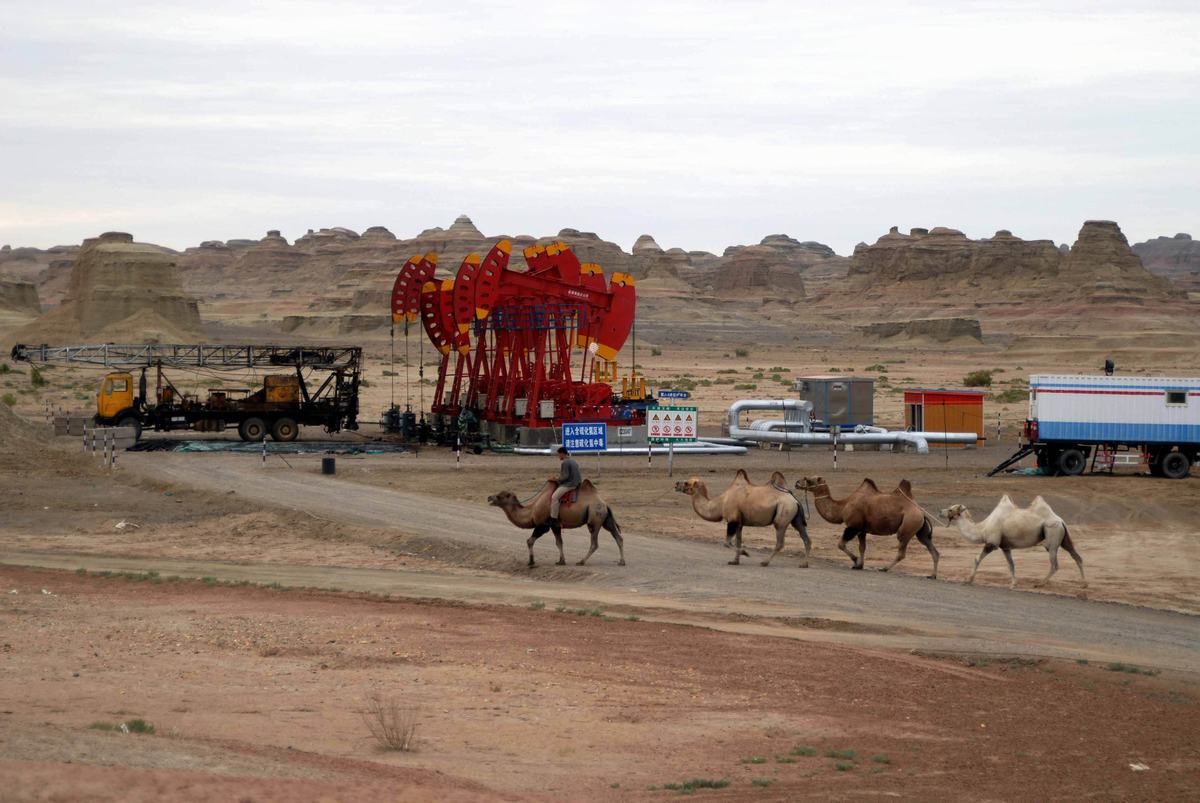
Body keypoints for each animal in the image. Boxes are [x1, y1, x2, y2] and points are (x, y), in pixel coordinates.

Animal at [484, 480, 624, 566]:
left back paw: (581, 561)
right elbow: (559, 542)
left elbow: (530, 540)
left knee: (594, 542)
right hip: (606, 519)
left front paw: (531, 562)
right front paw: (561, 561)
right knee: (618, 537)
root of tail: (605, 504)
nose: (489, 497)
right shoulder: (555, 526)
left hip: (594, 517)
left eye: (500, 496)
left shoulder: (543, 525)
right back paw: (621, 561)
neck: (532, 511)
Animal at [672, 465, 811, 566]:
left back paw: (765, 562)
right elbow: (738, 541)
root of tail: (794, 499)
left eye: (687, 483)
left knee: (780, 542)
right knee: (806, 539)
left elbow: (727, 543)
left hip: (782, 516)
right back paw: (804, 564)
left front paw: (745, 553)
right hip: (796, 519)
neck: (720, 502)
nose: (676, 484)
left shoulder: (732, 519)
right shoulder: (739, 523)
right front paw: (735, 561)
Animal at [796, 475, 936, 576]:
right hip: (920, 530)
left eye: (809, 480)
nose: (796, 483)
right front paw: (860, 565)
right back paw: (932, 575)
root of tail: (921, 513)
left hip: (908, 525)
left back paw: (884, 568)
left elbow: (841, 544)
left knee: (901, 551)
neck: (842, 507)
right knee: (931, 548)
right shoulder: (862, 530)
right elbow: (862, 547)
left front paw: (855, 561)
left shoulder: (853, 526)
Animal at [945, 494, 1089, 588]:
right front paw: (1014, 583)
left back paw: (1040, 583)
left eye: (951, 509)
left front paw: (968, 580)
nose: (941, 511)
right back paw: (1084, 585)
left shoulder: (992, 543)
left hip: (1052, 533)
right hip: (1064, 537)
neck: (982, 529)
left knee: (1055, 563)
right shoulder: (1005, 547)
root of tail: (1060, 520)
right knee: (1076, 556)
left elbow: (977, 558)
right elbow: (1011, 564)